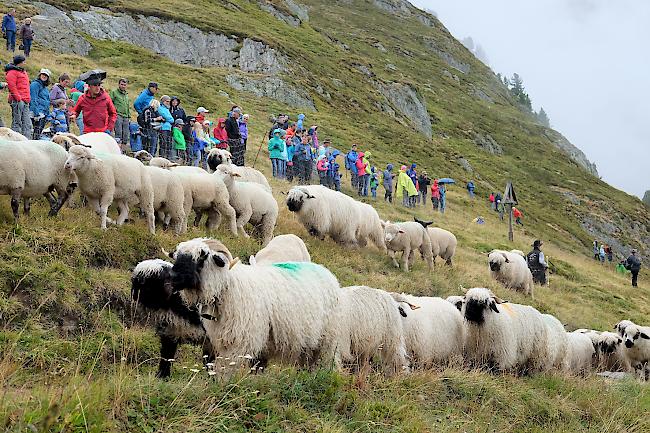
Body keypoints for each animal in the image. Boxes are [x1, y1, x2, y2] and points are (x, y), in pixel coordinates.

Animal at [167, 236, 340, 368]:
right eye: (178, 256)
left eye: (202, 257)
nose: (172, 277)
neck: (228, 287)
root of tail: (326, 272)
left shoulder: (239, 343)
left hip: (326, 342)